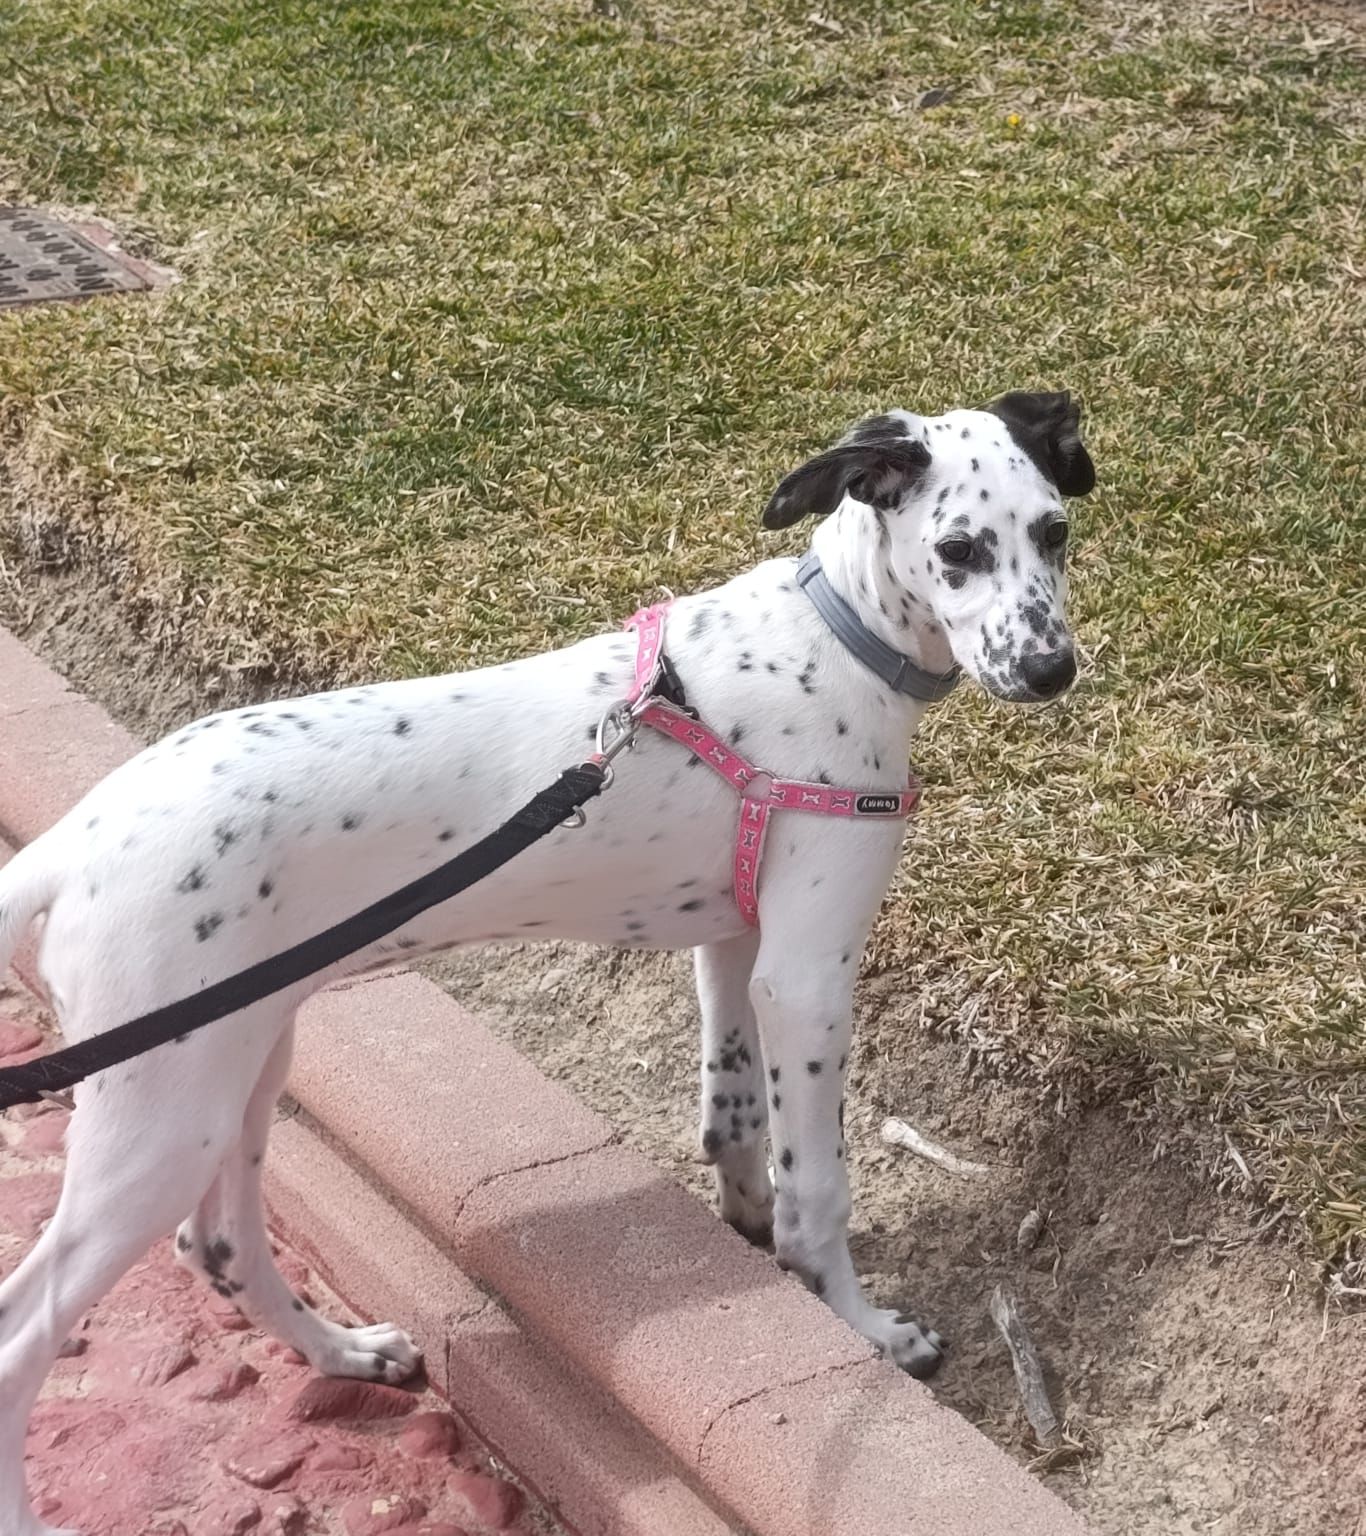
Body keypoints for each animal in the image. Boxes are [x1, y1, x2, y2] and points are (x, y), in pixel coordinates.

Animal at [0, 390, 1094, 1536]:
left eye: (1055, 531)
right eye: (958, 550)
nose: (1051, 669)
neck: (831, 636)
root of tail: (70, 843)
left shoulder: (733, 942)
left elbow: (733, 1118)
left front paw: (745, 1222)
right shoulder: (806, 977)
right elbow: (819, 1191)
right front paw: (865, 1329)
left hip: (234, 1071)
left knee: (214, 1248)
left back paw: (342, 1352)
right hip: (163, 1113)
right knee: (23, 1335)